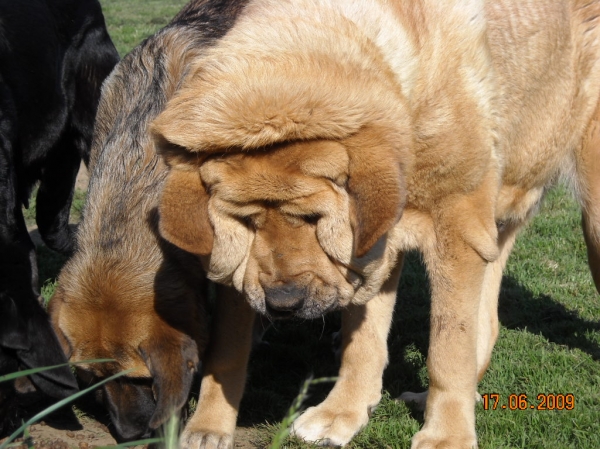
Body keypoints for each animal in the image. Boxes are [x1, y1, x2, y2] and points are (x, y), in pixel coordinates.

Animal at [151, 0, 600, 448]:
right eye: (247, 222)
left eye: (314, 219)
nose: (283, 304)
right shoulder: (374, 248)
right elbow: (355, 340)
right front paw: (338, 413)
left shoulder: (454, 231)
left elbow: (448, 347)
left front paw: (447, 436)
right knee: (488, 322)